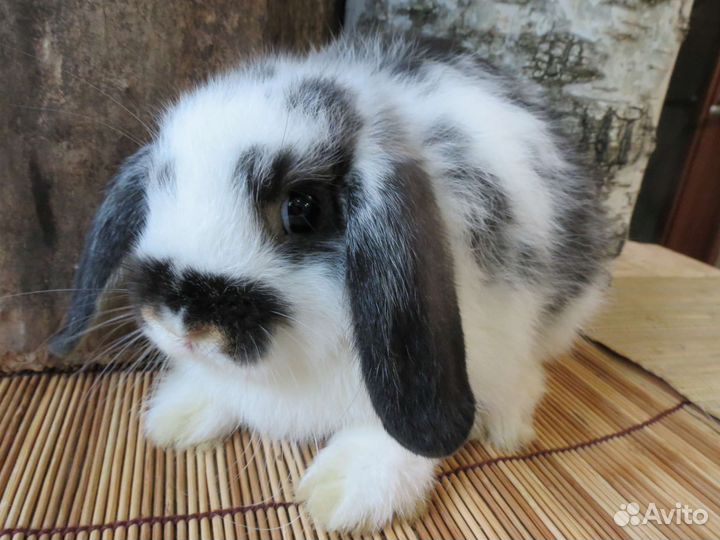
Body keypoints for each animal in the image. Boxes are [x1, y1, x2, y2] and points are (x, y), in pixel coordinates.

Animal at [50, 33, 611, 532]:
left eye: (302, 209)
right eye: (156, 189)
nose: (183, 322)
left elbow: (394, 437)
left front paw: (346, 490)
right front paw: (180, 414)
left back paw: (508, 425)